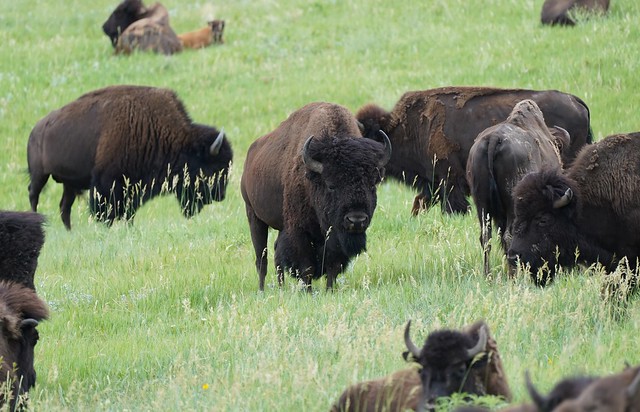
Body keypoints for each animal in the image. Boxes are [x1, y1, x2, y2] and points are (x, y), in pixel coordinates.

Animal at [27, 85, 232, 230]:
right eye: (214, 167)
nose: (220, 195)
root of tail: (37, 128)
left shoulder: (133, 187)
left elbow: (129, 211)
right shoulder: (106, 183)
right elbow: (105, 210)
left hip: (69, 185)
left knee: (64, 206)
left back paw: (69, 230)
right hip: (39, 175)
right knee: (33, 194)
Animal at [241, 102, 391, 291]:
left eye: (372, 184)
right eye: (331, 185)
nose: (356, 220)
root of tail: (251, 155)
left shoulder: (333, 236)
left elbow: (333, 265)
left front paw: (329, 290)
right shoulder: (300, 232)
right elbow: (307, 266)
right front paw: (308, 292)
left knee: (275, 254)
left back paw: (281, 287)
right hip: (254, 216)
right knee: (262, 259)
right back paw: (262, 291)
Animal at [466, 100, 568, 276]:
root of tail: (494, 138)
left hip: (481, 204)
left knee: (486, 237)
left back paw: (489, 275)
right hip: (512, 205)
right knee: (508, 235)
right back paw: (513, 275)